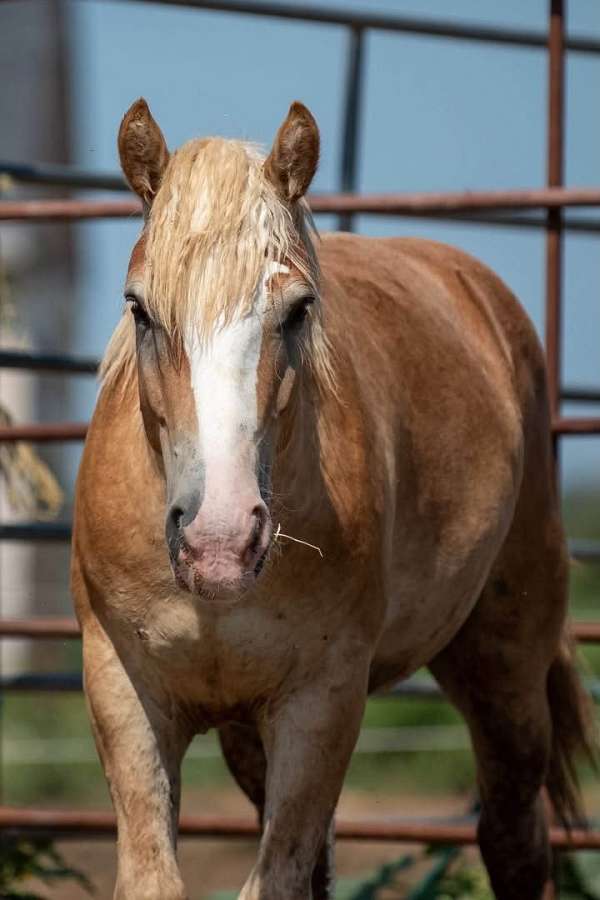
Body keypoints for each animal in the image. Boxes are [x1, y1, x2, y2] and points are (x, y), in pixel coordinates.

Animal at [71, 98, 594, 900]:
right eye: (139, 309)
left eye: (296, 310)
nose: (221, 543)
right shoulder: (124, 693)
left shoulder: (322, 702)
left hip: (506, 668)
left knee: (513, 837)